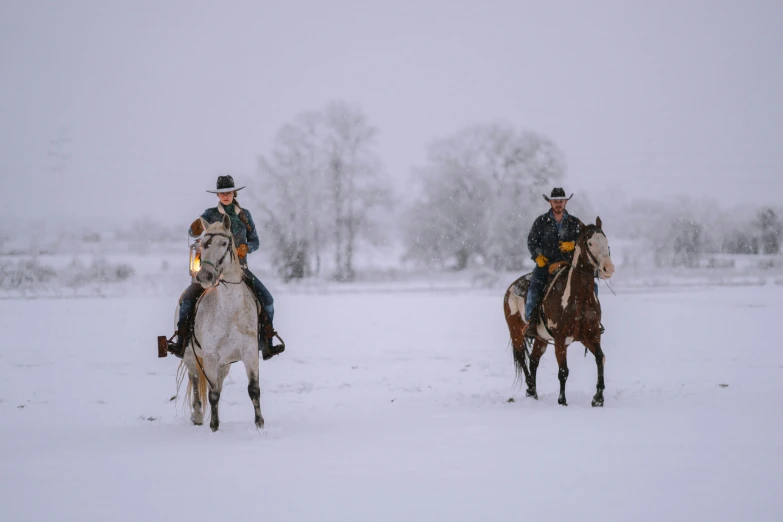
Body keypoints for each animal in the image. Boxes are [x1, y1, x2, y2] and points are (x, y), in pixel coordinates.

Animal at [178, 213, 264, 428]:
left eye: (224, 243)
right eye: (203, 244)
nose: (205, 276)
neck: (230, 311)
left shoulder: (250, 352)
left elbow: (254, 389)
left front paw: (260, 424)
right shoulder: (210, 356)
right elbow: (213, 393)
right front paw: (214, 426)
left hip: (225, 364)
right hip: (191, 356)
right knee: (195, 379)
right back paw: (198, 415)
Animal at [506, 215, 616, 406]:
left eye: (606, 240)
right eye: (590, 242)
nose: (608, 269)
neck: (578, 300)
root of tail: (511, 287)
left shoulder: (591, 335)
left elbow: (600, 358)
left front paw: (598, 398)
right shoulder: (560, 340)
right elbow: (563, 371)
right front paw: (562, 401)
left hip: (541, 339)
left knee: (533, 360)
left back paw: (533, 392)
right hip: (516, 333)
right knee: (522, 359)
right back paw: (530, 388)